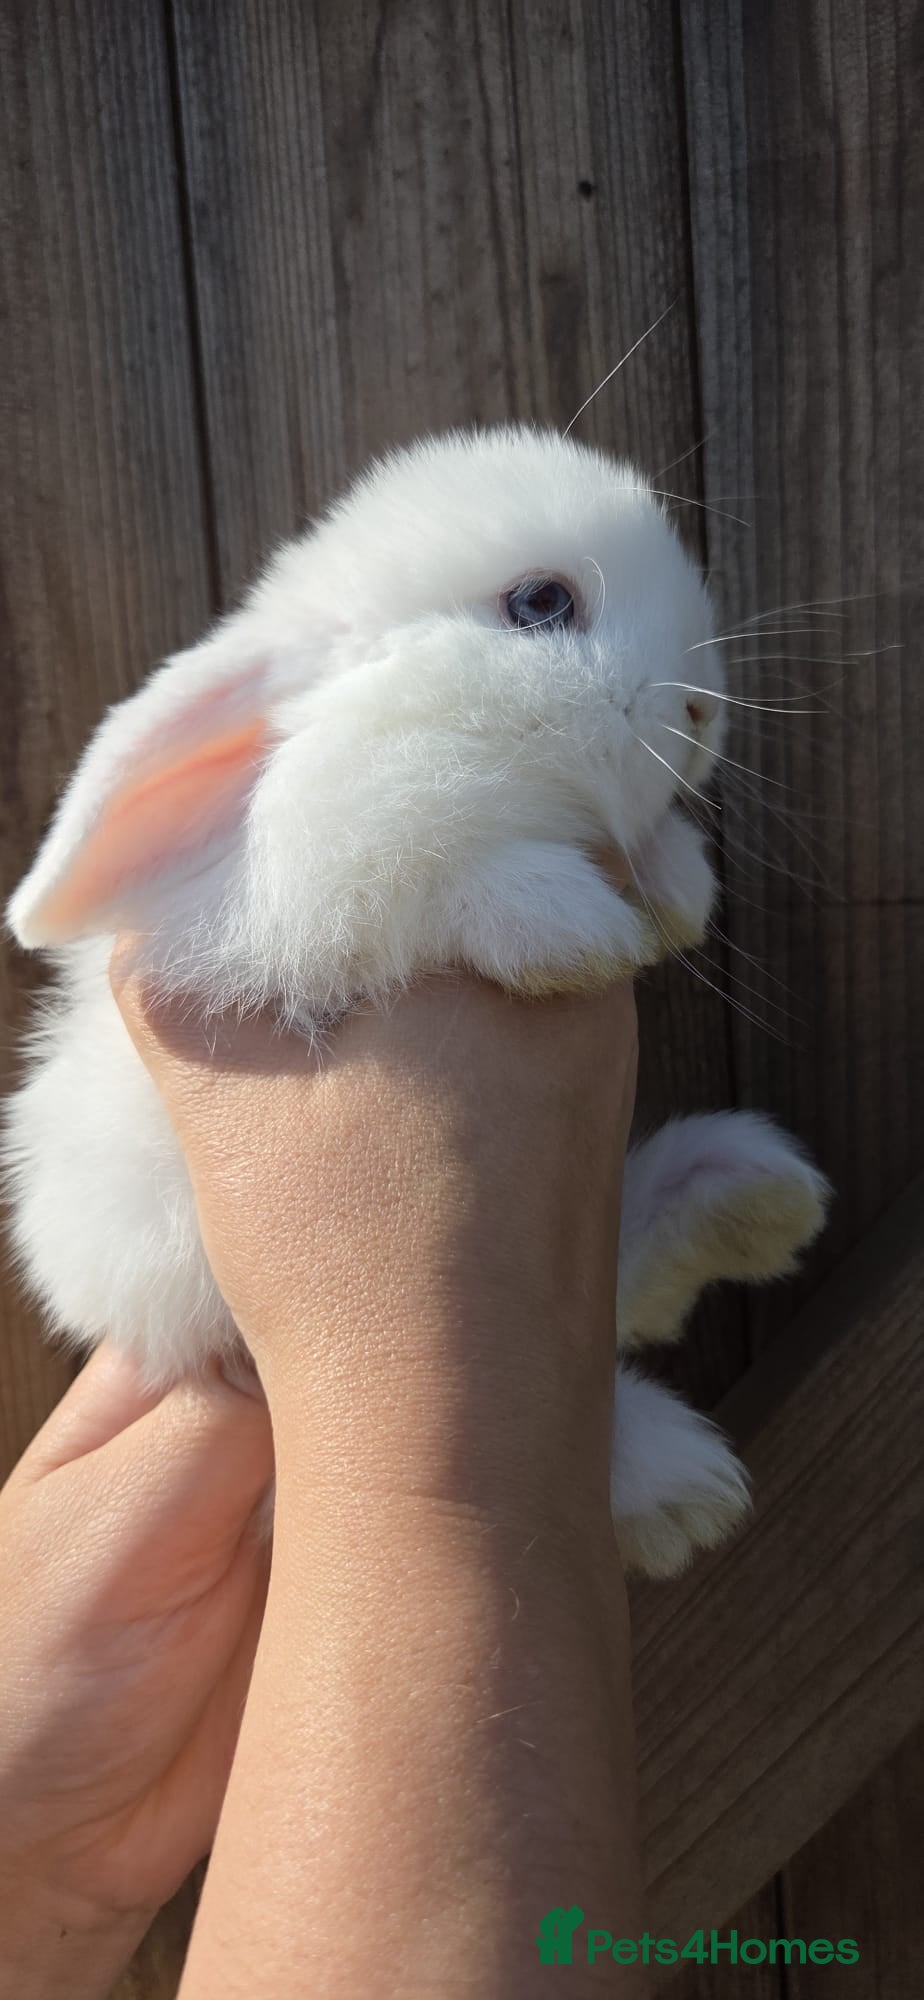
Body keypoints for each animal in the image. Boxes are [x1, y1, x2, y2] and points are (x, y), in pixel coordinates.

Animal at [4, 425, 829, 1575]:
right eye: (540, 601)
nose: (704, 711)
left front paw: (674, 891)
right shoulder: (320, 886)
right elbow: (444, 879)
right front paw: (575, 928)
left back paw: (746, 1201)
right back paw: (679, 1486)